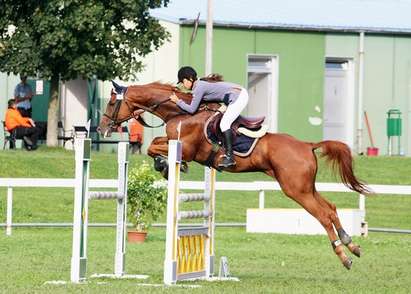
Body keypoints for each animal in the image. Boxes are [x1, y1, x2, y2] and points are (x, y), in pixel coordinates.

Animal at [99, 81, 370, 270]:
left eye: (111, 103)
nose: (102, 128)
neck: (182, 112)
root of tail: (307, 145)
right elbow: (153, 145)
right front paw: (166, 166)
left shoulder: (187, 148)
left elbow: (153, 147)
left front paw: (168, 166)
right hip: (306, 187)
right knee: (331, 208)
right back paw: (352, 245)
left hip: (295, 190)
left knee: (323, 216)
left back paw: (344, 256)